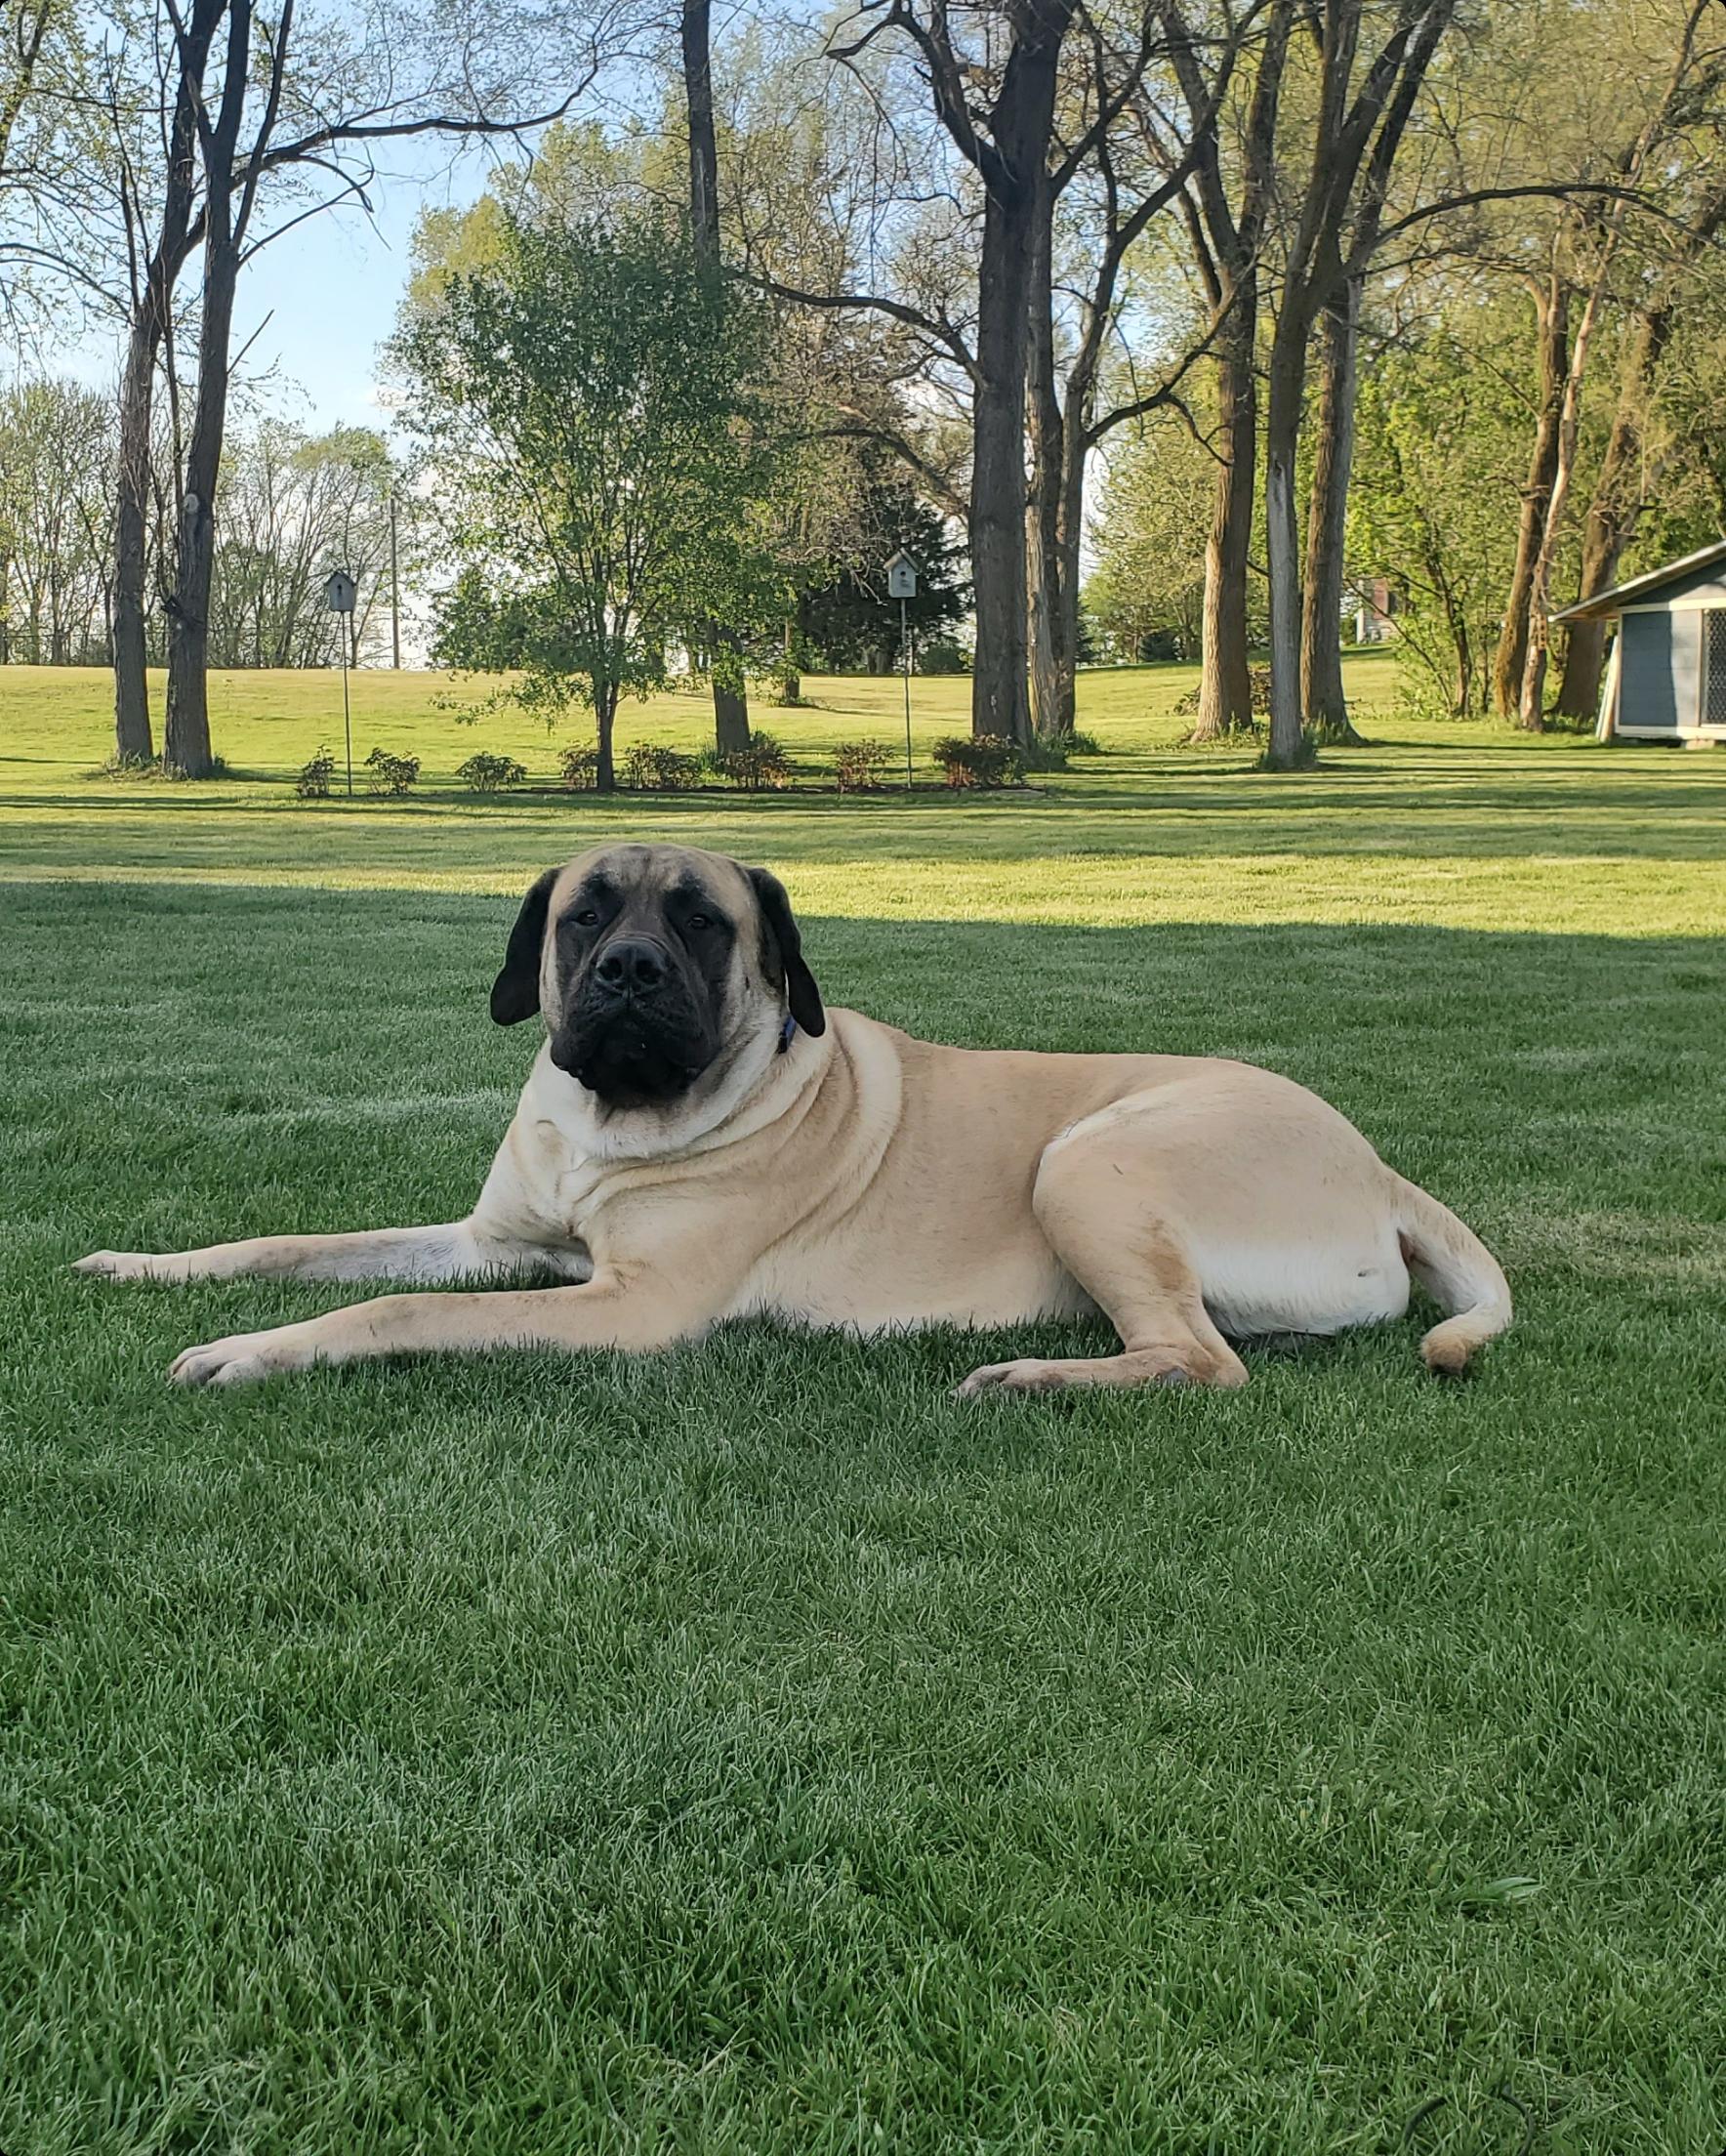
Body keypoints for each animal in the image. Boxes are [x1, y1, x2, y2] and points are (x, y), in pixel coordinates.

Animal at [78, 841, 1512, 1391]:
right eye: (584, 914)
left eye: (705, 923)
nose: (630, 973)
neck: (617, 1128)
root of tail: (1378, 1170)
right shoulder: (497, 1247)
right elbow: (297, 1249)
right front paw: (151, 1267)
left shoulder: (626, 1308)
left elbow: (389, 1309)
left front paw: (249, 1352)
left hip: (1090, 1161)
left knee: (1203, 1360)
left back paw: (1030, 1380)